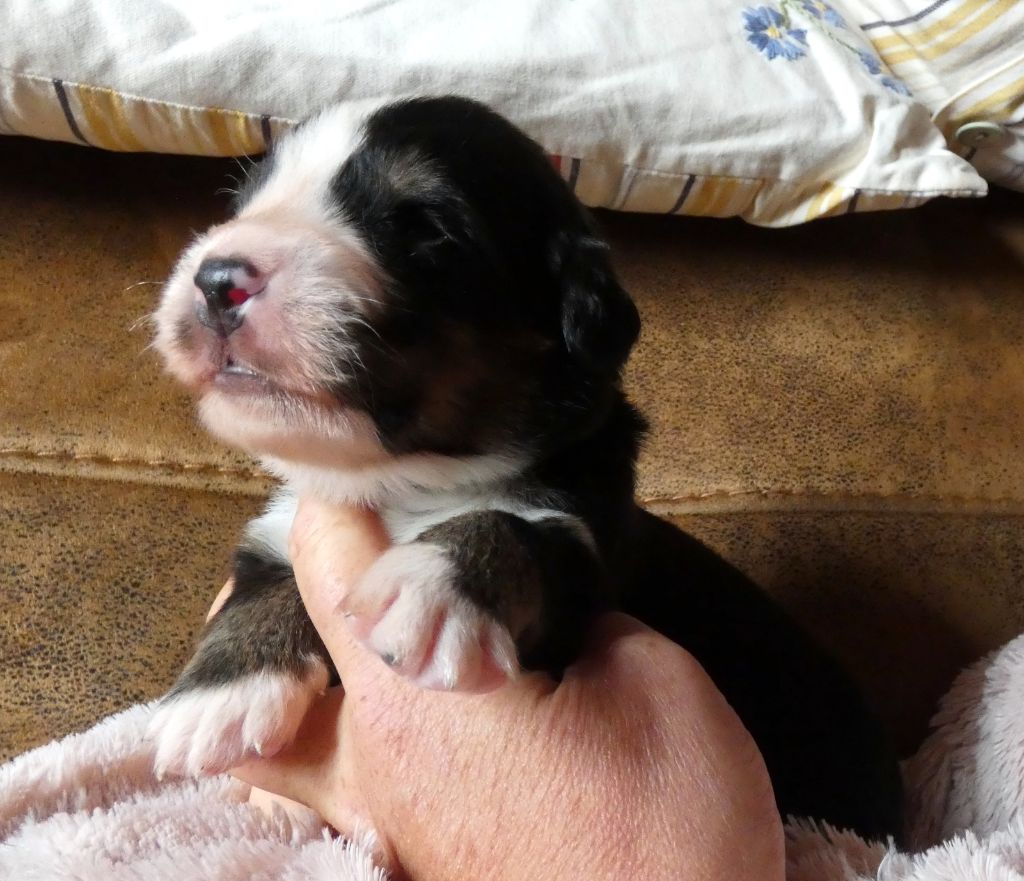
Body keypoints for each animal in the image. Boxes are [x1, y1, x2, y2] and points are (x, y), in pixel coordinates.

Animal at [151, 95, 902, 839]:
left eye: (424, 228)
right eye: (244, 201)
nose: (218, 280)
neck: (399, 480)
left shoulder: (582, 567)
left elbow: (512, 529)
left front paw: (433, 586)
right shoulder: (280, 530)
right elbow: (263, 587)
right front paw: (217, 694)